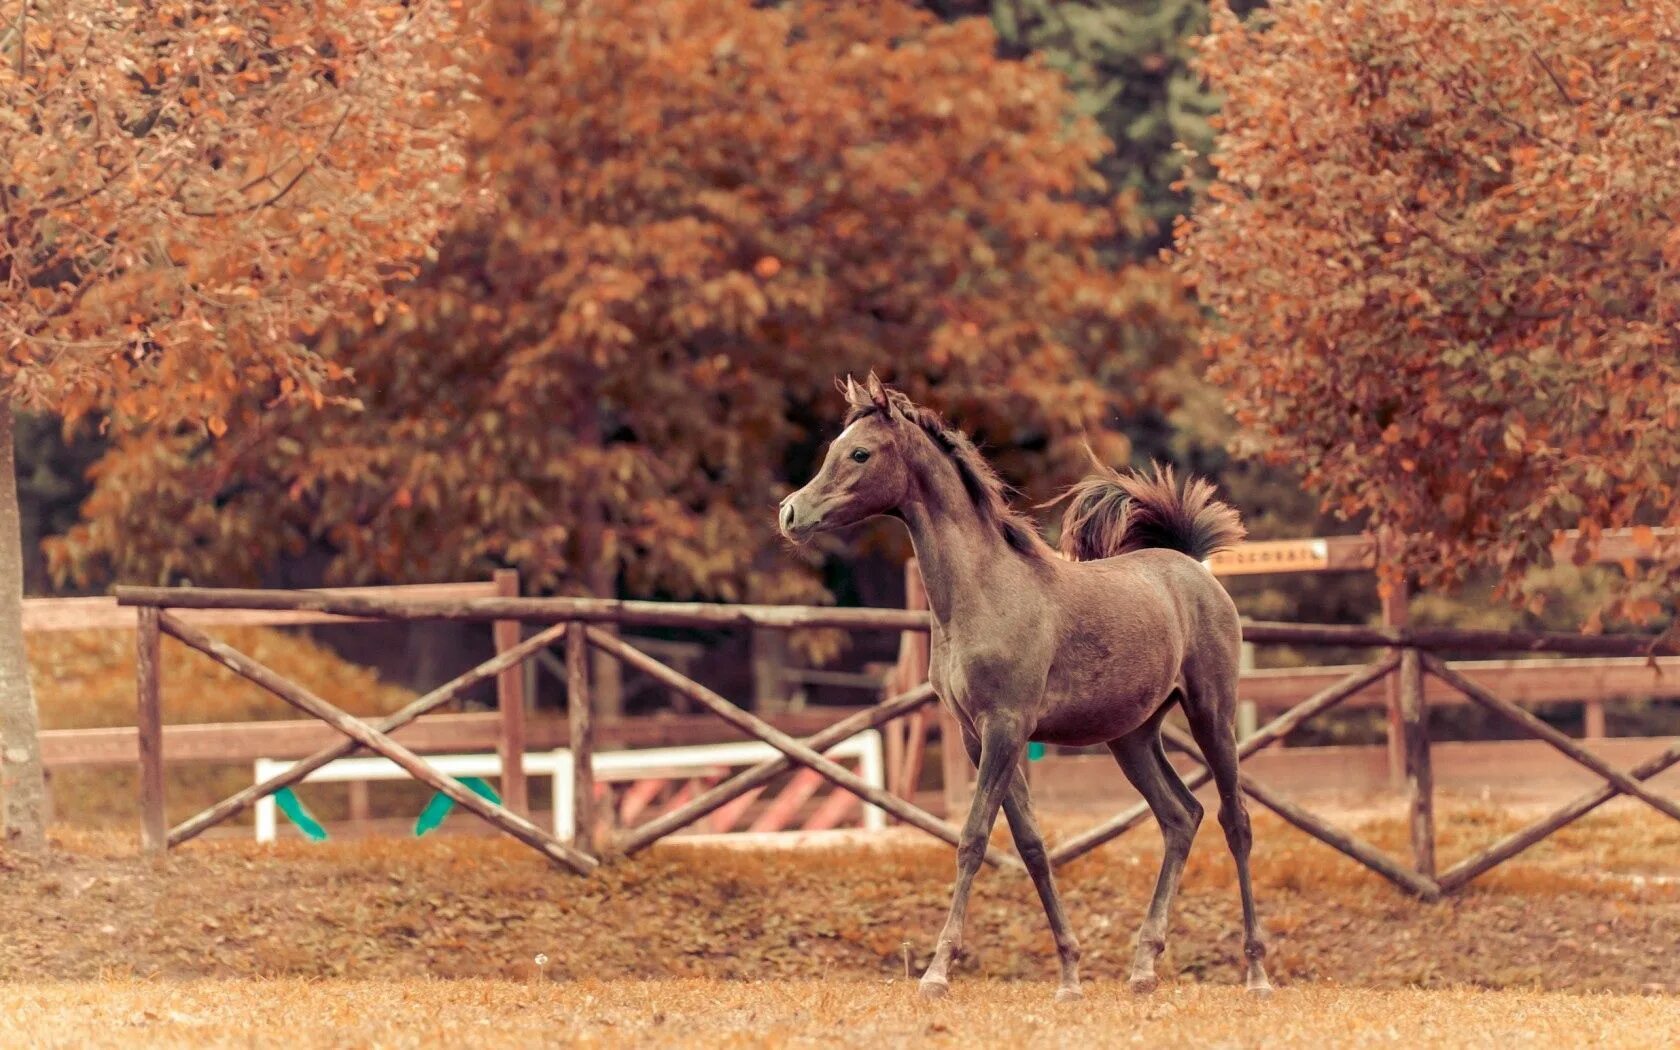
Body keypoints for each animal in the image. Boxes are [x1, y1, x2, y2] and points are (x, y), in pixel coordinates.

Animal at [779, 374, 1263, 1001]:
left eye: (859, 453)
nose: (790, 513)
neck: (983, 595)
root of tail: (1191, 567)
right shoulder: (976, 736)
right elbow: (1031, 843)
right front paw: (1070, 976)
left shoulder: (1006, 728)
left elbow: (973, 838)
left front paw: (937, 973)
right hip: (1132, 737)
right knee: (1181, 817)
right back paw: (1143, 967)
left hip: (1212, 713)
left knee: (1235, 821)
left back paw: (1256, 973)